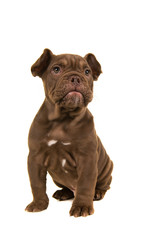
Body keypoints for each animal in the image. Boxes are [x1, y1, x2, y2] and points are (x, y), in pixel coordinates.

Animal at [25, 49, 113, 218]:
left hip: (107, 167)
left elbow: (86, 184)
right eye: (56, 69)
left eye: (87, 72)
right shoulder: (35, 158)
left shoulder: (87, 158)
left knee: (102, 185)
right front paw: (38, 204)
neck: (63, 118)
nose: (76, 78)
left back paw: (97, 192)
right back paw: (63, 192)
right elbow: (37, 184)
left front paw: (82, 206)